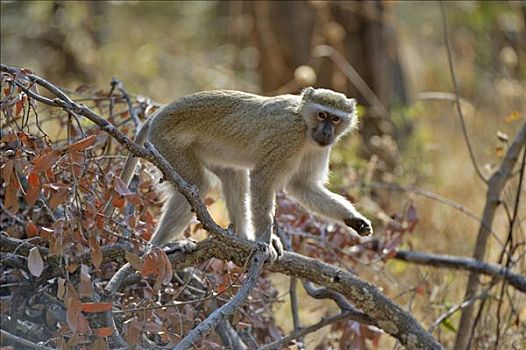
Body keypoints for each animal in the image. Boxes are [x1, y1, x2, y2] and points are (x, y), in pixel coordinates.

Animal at [118, 87, 376, 260]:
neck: (304, 125)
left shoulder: (319, 149)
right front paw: (264, 242)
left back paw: (242, 238)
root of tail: (160, 113)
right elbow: (262, 179)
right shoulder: (287, 137)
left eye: (335, 118)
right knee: (195, 184)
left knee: (233, 175)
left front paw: (354, 220)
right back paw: (157, 247)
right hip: (166, 142)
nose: (326, 132)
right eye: (322, 115)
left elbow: (302, 187)